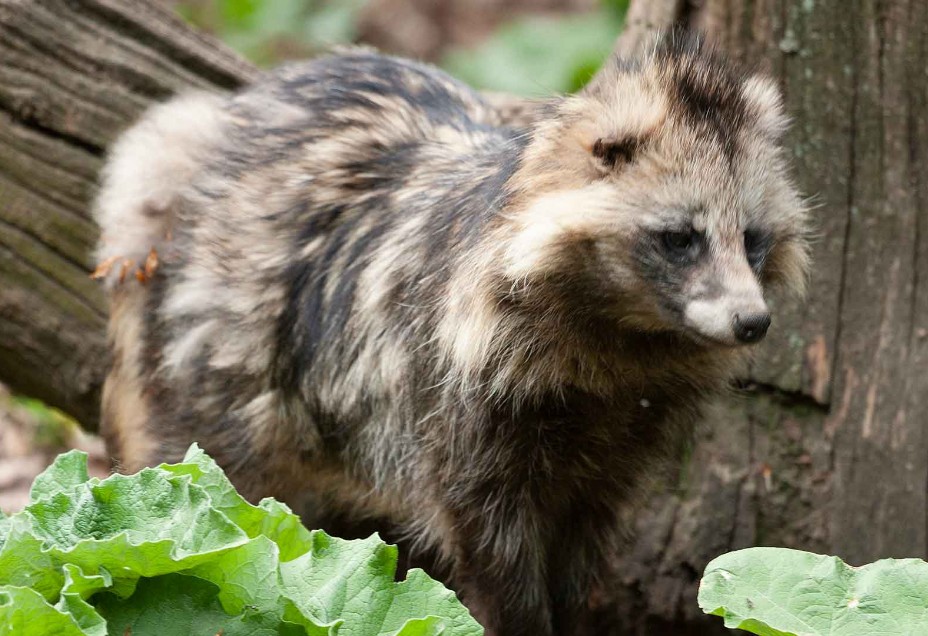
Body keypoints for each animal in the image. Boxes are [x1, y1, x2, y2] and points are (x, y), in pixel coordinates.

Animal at [92, 33, 804, 636]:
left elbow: (585, 538)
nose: (753, 322)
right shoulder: (453, 395)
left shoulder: (623, 434)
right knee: (212, 485)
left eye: (752, 238)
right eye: (681, 238)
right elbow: (487, 541)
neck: (625, 334)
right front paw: (519, 620)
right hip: (214, 343)